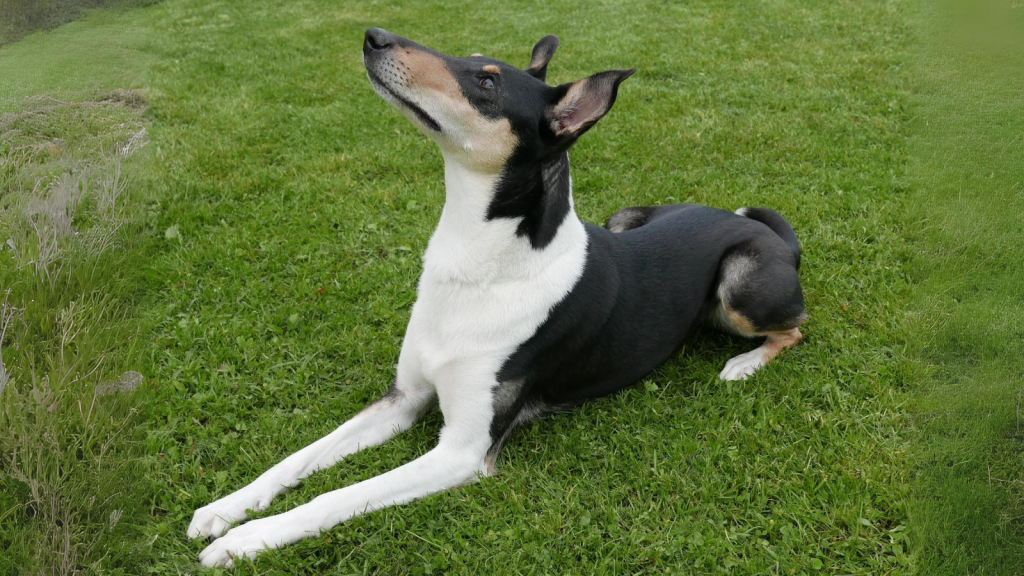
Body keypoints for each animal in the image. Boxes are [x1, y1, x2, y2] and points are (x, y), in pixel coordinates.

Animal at [188, 29, 802, 561]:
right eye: (474, 60)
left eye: (485, 83)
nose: (374, 35)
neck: (481, 267)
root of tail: (767, 232)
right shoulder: (402, 397)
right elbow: (299, 458)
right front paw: (225, 509)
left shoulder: (461, 451)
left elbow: (335, 495)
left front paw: (246, 541)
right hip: (627, 216)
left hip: (742, 287)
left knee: (794, 327)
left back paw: (744, 364)